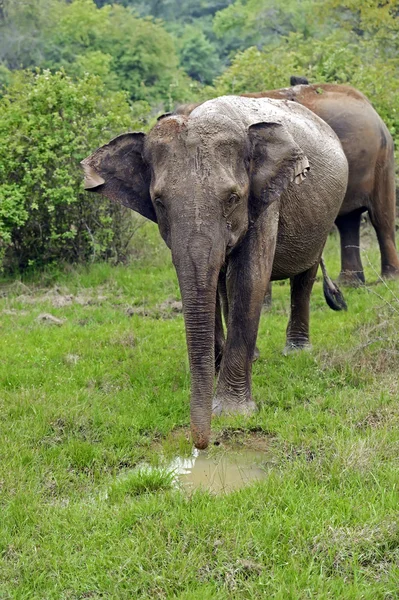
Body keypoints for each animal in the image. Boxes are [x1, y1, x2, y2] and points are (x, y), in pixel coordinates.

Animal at [83, 96, 348, 448]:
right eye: (159, 201)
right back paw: (254, 356)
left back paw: (296, 351)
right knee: (223, 285)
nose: (201, 444)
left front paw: (233, 413)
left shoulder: (264, 199)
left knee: (304, 275)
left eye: (233, 198)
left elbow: (249, 276)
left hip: (323, 217)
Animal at [177, 79, 399, 286]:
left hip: (382, 158)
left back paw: (387, 279)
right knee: (348, 221)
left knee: (381, 217)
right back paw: (350, 283)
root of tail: (367, 103)